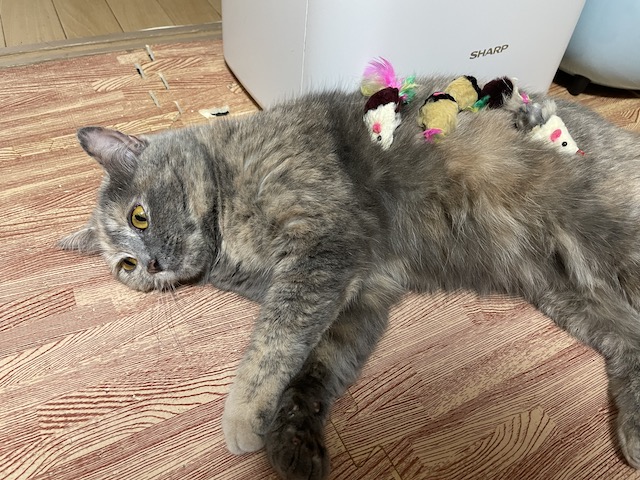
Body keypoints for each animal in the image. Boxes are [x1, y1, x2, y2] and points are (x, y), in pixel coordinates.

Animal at [60, 75, 640, 480]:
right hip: (569, 294)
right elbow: (315, 367)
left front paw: (243, 419)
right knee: (631, 341)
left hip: (611, 243)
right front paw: (294, 446)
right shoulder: (360, 291)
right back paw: (635, 431)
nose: (150, 265)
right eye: (125, 266)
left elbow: (273, 344)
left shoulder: (322, 252)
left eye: (139, 217)